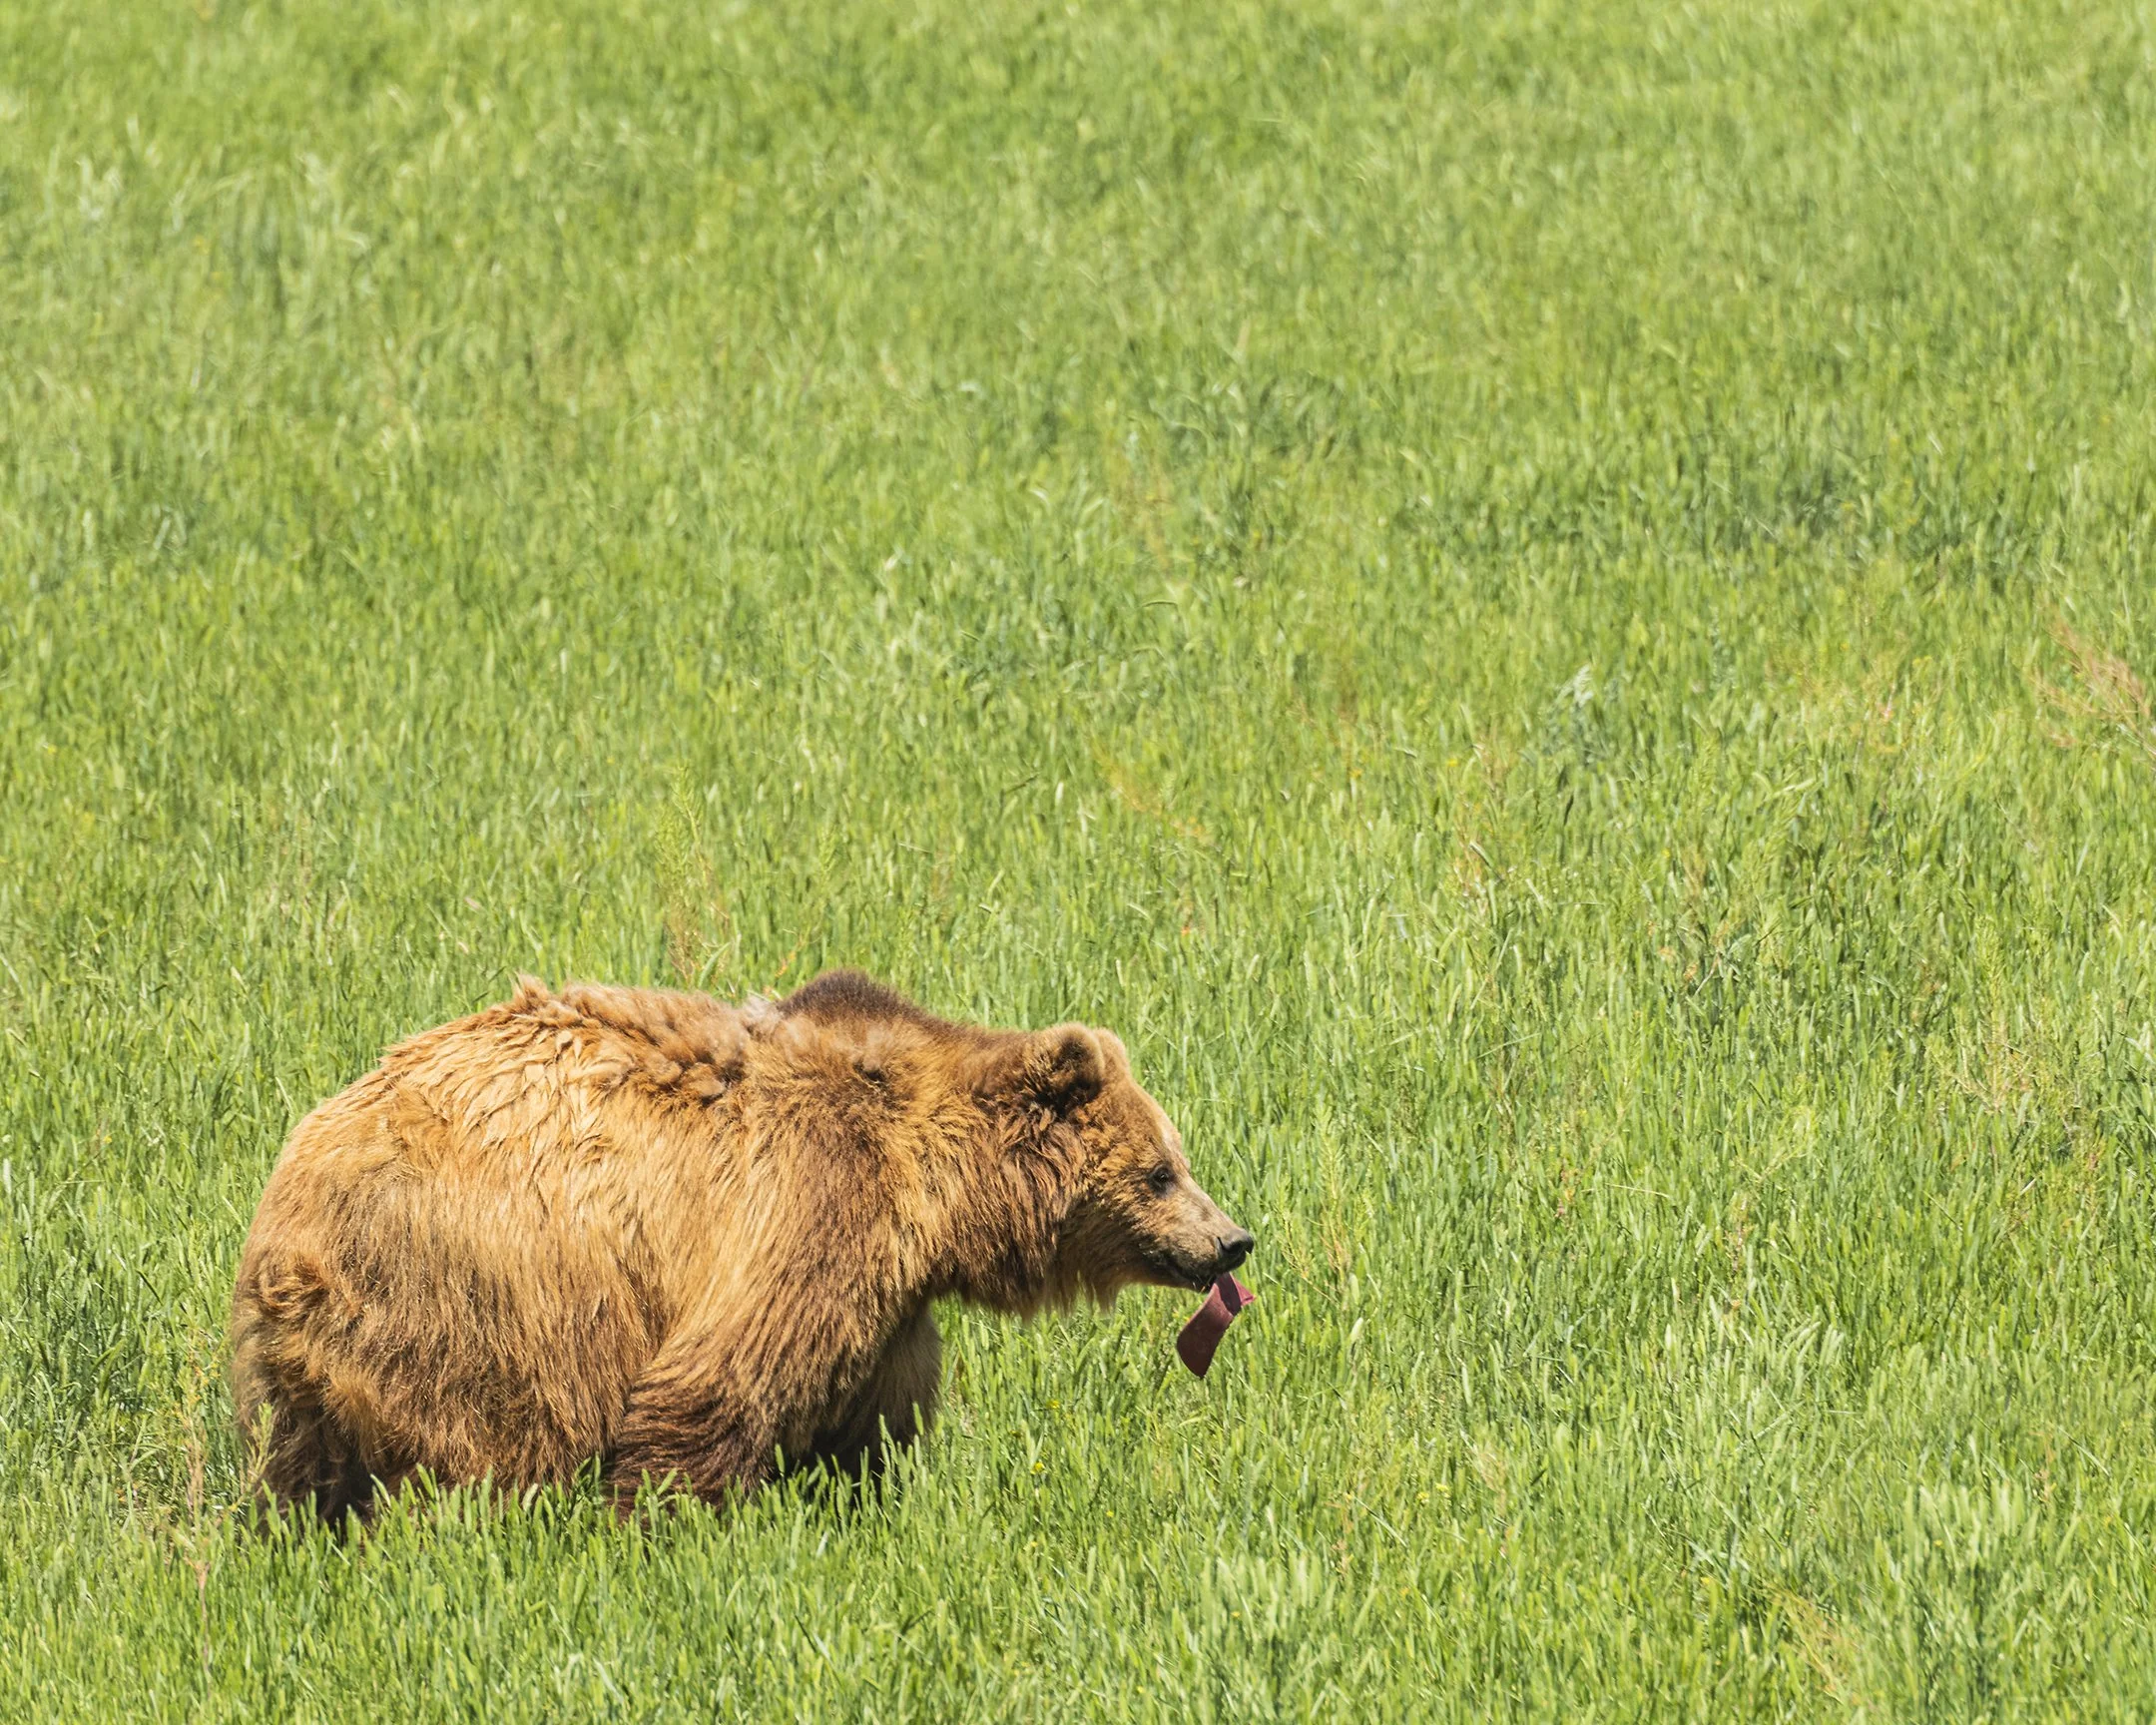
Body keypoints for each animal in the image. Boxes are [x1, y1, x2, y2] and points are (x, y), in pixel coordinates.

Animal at [228, 969, 1253, 1521]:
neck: (932, 1189)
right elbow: (719, 1381)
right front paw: (671, 1519)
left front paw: (859, 1496)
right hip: (488, 1282)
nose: (1232, 1242)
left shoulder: (889, 1305)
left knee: (312, 1460)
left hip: (342, 1350)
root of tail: (286, 1209)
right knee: (493, 1427)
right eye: (1160, 1173)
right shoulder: (804, 1206)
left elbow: (872, 1415)